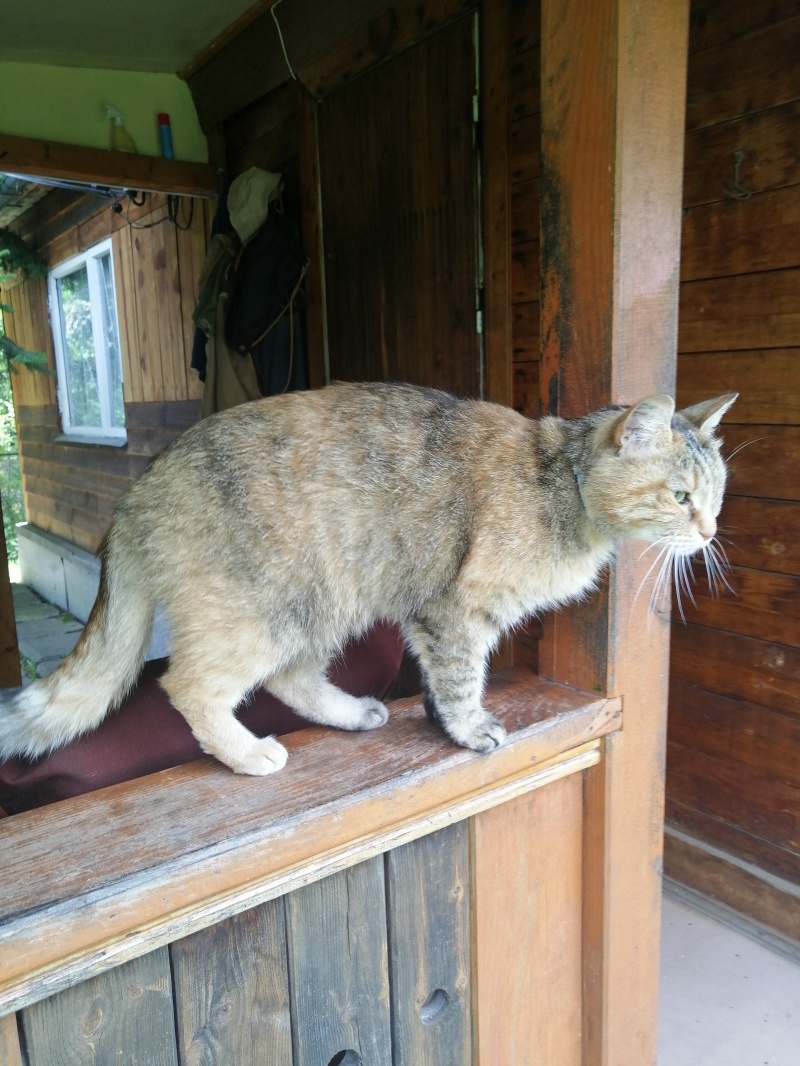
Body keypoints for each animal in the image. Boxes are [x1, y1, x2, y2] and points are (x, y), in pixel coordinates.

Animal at [0, 382, 736, 776]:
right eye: (679, 497)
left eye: (716, 495)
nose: (709, 534)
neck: (562, 483)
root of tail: (135, 492)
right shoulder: (453, 612)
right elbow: (462, 681)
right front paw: (468, 731)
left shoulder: (442, 620)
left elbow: (444, 683)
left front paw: (439, 722)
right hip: (267, 610)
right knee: (187, 684)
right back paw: (248, 755)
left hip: (320, 605)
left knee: (290, 679)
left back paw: (353, 713)